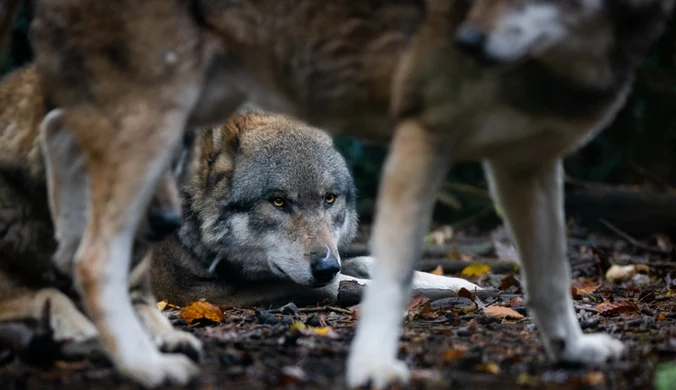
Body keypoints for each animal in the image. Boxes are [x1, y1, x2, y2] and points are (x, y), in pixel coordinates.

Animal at [0, 64, 202, 368]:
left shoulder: (133, 288)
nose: (169, 222)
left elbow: (149, 313)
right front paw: (81, 329)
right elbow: (49, 294)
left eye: (170, 159)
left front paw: (172, 338)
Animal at [151, 106, 478, 308]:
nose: (325, 267)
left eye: (329, 199)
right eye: (278, 201)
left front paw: (462, 284)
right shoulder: (194, 293)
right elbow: (339, 285)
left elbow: (367, 262)